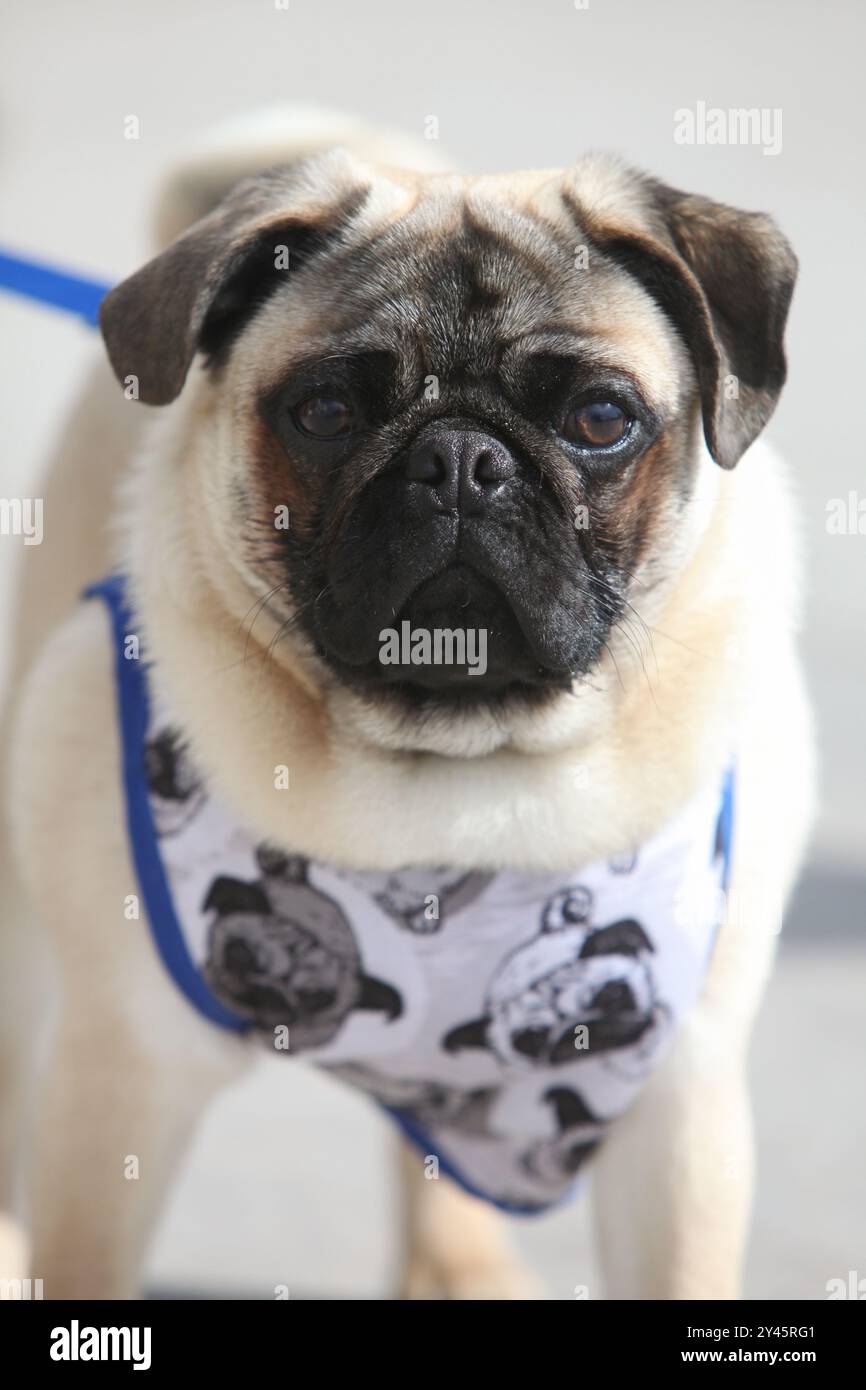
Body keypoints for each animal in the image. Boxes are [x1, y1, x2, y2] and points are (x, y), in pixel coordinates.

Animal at [0, 111, 811, 1301]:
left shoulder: (680, 1114)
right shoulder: (121, 1085)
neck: (458, 778)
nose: (461, 460)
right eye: (327, 413)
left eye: (599, 419)